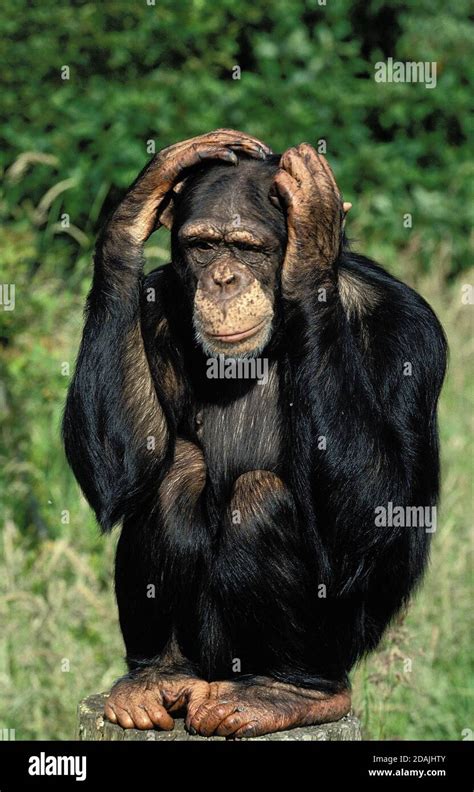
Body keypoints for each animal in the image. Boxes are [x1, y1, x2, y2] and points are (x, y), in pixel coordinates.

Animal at [62, 128, 444, 736]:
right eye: (202, 246)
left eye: (249, 248)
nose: (223, 279)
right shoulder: (152, 307)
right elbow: (120, 470)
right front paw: (144, 194)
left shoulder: (406, 327)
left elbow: (379, 515)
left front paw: (313, 231)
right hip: (207, 660)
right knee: (175, 475)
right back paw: (155, 675)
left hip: (329, 651)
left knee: (260, 498)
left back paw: (291, 692)